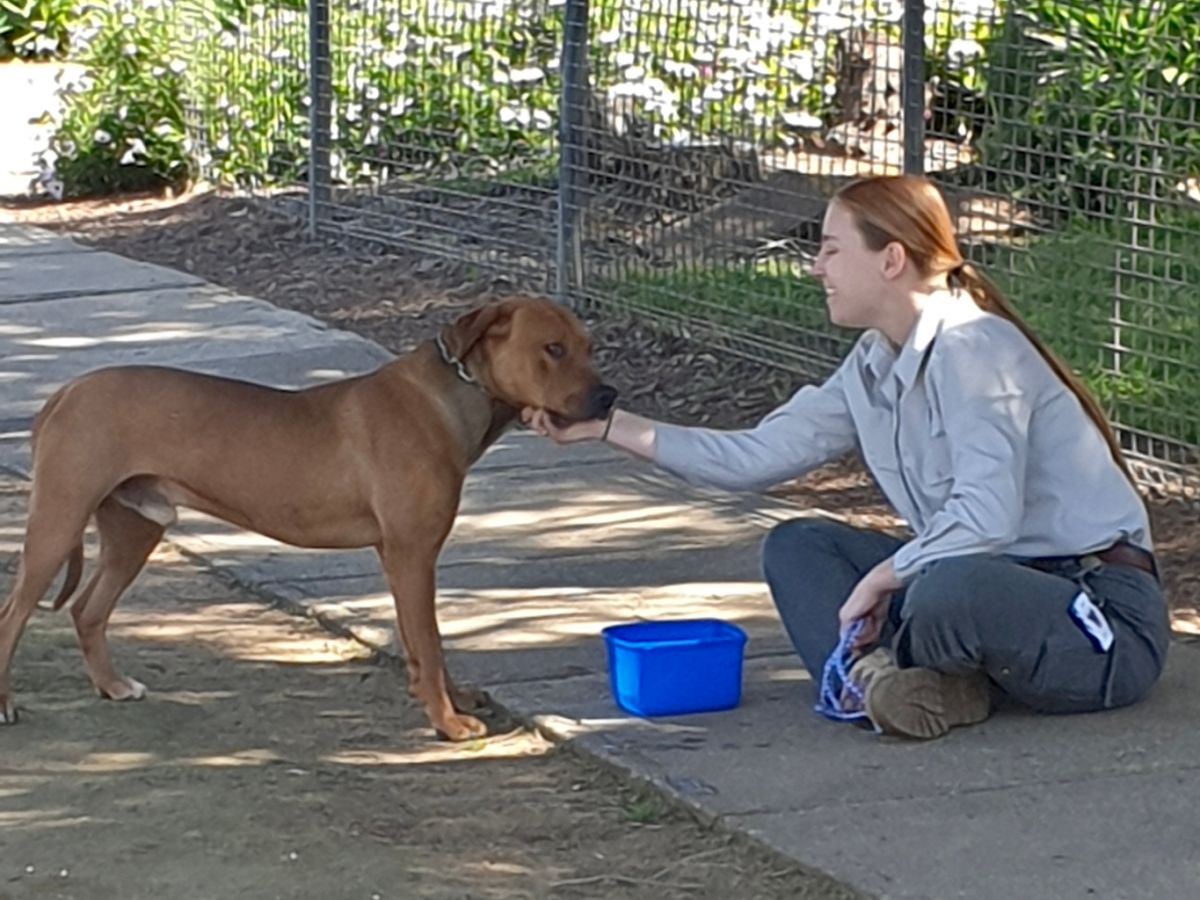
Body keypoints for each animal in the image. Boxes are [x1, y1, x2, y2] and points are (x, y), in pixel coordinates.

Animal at [0, 296, 614, 739]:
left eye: (590, 346)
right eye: (553, 348)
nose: (609, 395)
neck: (453, 398)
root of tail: (67, 391)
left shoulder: (400, 559)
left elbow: (423, 644)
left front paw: (443, 698)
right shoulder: (413, 554)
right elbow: (433, 639)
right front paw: (448, 722)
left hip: (136, 525)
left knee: (88, 609)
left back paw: (112, 685)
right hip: (59, 519)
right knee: (14, 614)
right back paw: (7, 703)